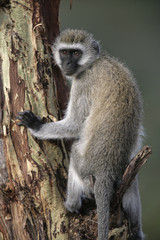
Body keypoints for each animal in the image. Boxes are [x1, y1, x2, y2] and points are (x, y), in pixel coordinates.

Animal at [16, 28, 144, 240]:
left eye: (76, 53)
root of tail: (105, 172)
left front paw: (36, 126)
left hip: (86, 167)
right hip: (123, 172)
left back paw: (71, 205)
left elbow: (75, 124)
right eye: (64, 52)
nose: (67, 64)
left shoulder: (83, 82)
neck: (95, 62)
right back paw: (135, 229)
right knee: (132, 183)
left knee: (75, 153)